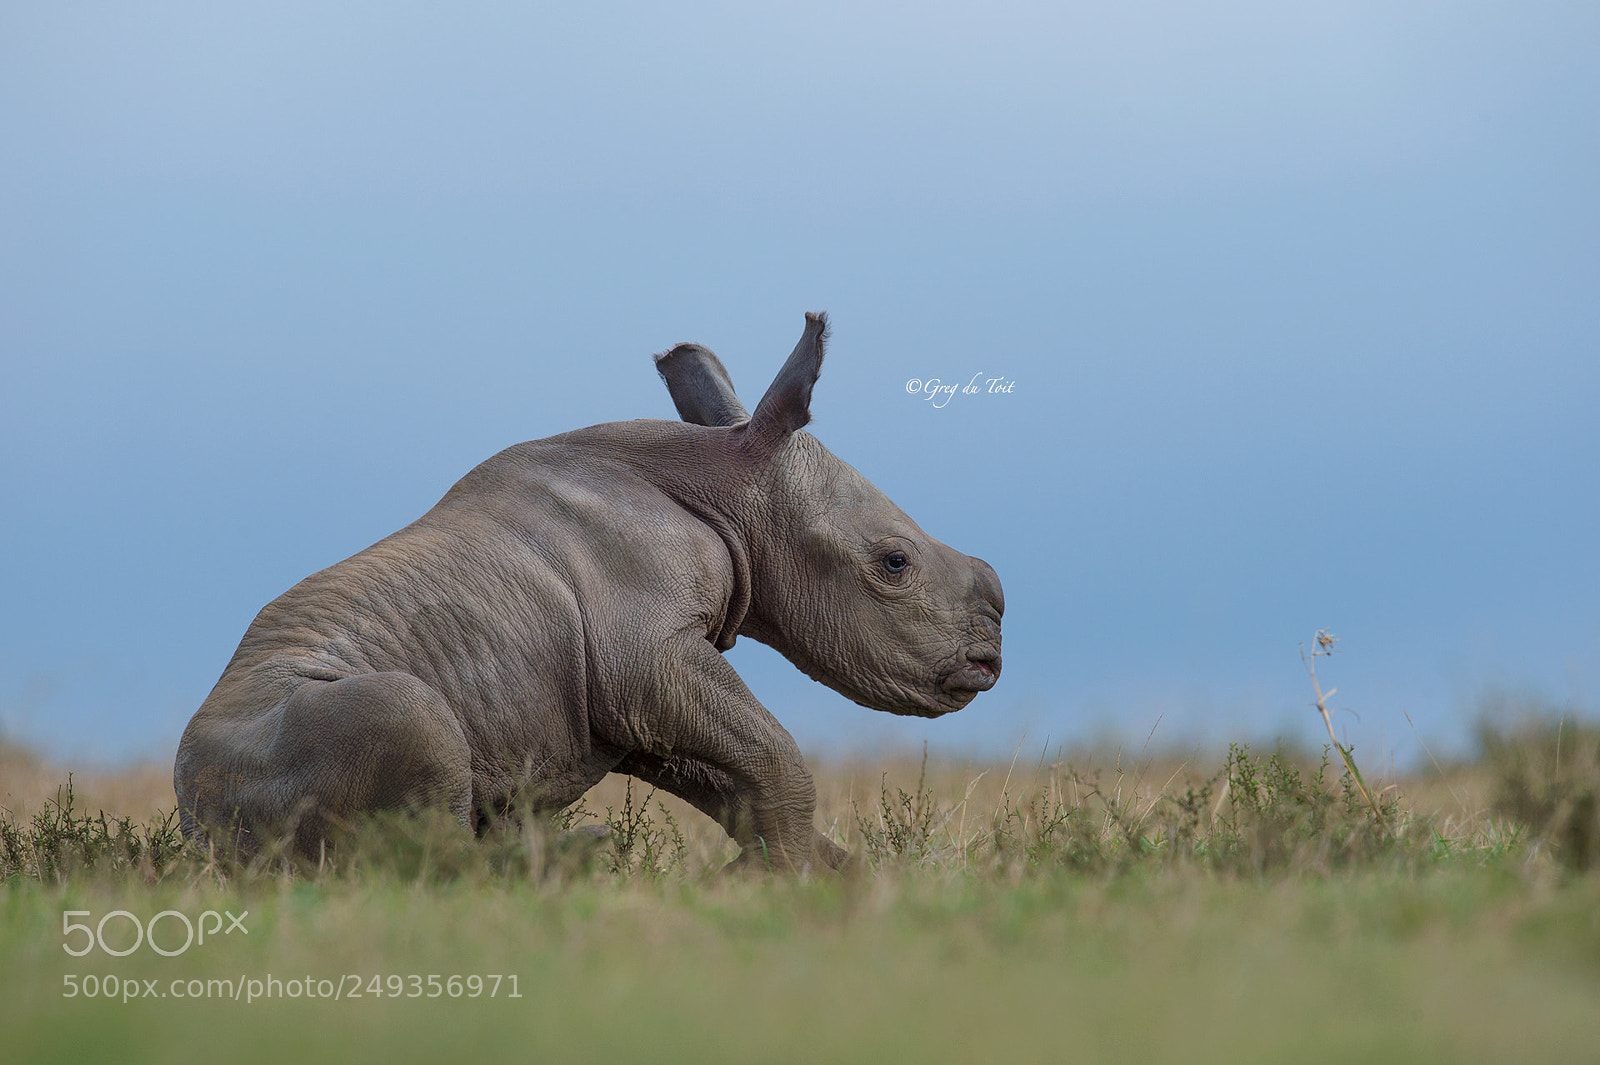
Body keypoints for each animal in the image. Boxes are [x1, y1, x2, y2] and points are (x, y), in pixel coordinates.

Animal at [173, 313, 1003, 872]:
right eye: (894, 563)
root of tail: (193, 819)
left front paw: (835, 876)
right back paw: (567, 861)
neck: (727, 481)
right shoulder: (645, 655)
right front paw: (775, 877)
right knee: (409, 719)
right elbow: (774, 753)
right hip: (266, 741)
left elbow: (737, 776)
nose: (989, 658)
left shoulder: (628, 696)